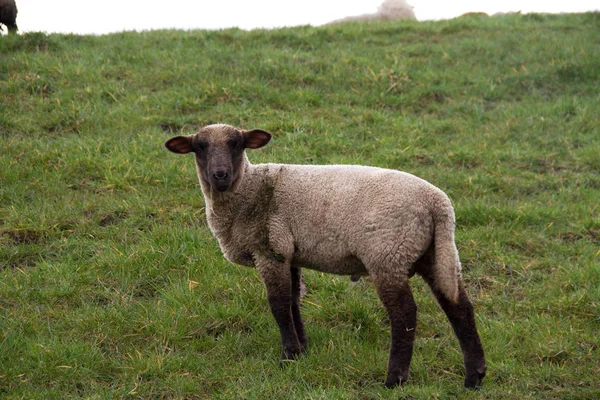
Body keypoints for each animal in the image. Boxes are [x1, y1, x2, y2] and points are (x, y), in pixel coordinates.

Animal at [164, 124, 488, 388]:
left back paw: (394, 379)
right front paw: (302, 350)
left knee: (405, 314)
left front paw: (288, 355)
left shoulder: (270, 250)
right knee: (459, 307)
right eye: (199, 147)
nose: (219, 175)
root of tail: (438, 204)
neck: (250, 189)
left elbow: (278, 304)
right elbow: (293, 301)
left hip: (388, 254)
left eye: (237, 144)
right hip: (434, 254)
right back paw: (474, 377)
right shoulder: (289, 253)